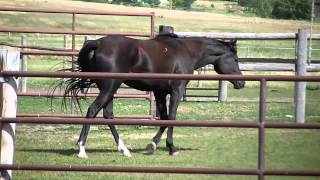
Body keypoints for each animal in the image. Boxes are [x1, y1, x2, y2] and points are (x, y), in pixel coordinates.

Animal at [63, 33, 246, 158]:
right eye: (235, 59)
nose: (241, 83)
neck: (186, 51)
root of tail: (97, 43)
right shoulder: (177, 90)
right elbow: (171, 117)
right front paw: (171, 148)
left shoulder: (160, 92)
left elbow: (164, 118)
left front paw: (152, 145)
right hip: (110, 87)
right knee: (93, 110)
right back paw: (82, 149)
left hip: (109, 89)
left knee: (108, 115)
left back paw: (124, 149)